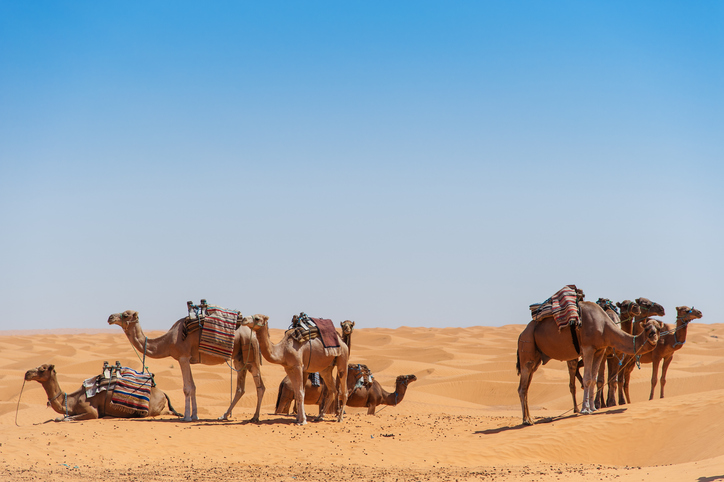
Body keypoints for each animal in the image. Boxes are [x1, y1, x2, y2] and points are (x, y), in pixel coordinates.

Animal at [24, 364, 181, 420]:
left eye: (42, 368)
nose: (27, 373)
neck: (71, 400)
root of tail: (163, 393)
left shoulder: (92, 411)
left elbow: (64, 418)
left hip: (151, 410)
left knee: (165, 412)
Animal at [106, 308, 264, 422]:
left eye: (126, 315)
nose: (110, 317)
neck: (168, 341)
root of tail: (253, 334)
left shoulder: (182, 357)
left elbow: (187, 388)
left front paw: (186, 417)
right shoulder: (187, 359)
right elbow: (193, 387)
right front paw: (195, 416)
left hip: (250, 354)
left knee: (260, 386)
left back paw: (255, 417)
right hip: (239, 358)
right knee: (241, 388)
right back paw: (224, 415)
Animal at [516, 302, 660, 426]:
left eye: (658, 329)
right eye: (648, 329)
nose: (654, 338)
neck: (604, 325)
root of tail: (522, 333)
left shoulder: (600, 350)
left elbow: (593, 379)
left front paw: (593, 408)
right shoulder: (588, 348)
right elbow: (587, 379)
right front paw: (585, 409)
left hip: (536, 358)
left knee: (526, 385)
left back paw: (529, 418)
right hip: (527, 345)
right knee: (522, 387)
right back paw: (526, 421)